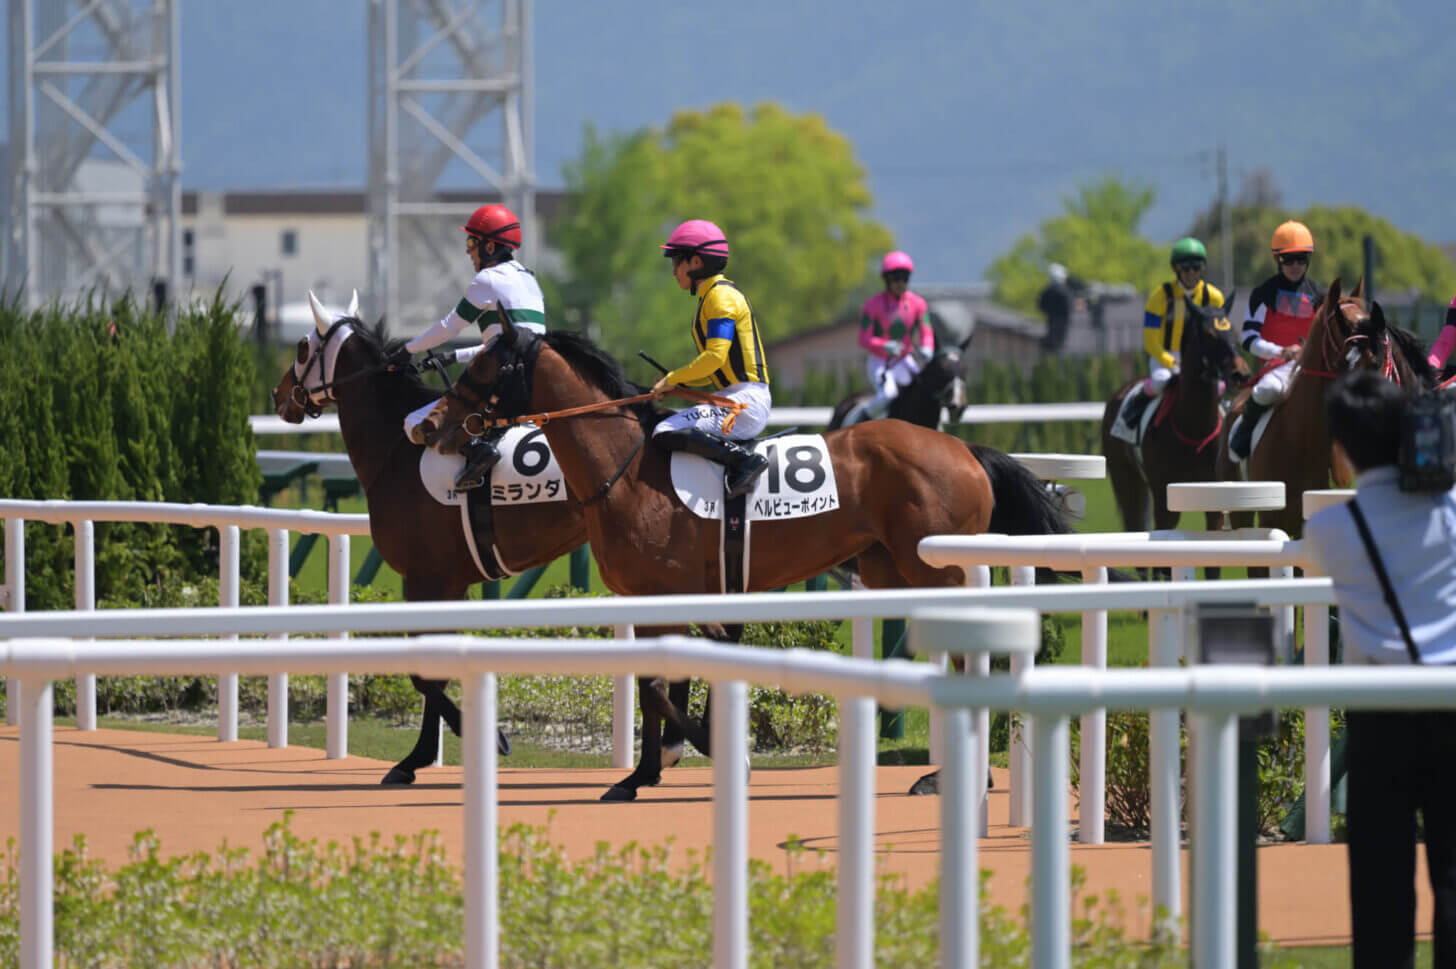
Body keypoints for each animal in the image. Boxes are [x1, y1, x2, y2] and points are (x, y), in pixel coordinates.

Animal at [270, 296, 588, 785]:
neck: (395, 445)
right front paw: (417, 757)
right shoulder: (448, 583)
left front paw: (482, 737)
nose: (279, 394)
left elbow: (425, 675)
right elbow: (434, 669)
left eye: (304, 347)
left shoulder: (424, 578)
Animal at [422, 320, 1071, 797]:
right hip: (893, 569)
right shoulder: (650, 601)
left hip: (939, 570)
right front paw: (640, 774)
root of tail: (965, 448)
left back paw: (964, 777)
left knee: (973, 662)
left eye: (485, 366)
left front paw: (704, 751)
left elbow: (667, 685)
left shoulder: (673, 596)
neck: (626, 470)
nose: (432, 425)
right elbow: (656, 683)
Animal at [1100, 290, 1252, 544]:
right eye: (1210, 334)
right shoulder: (1164, 500)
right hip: (1126, 479)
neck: (1193, 429)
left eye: (1234, 331)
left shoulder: (1213, 498)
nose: (1240, 373)